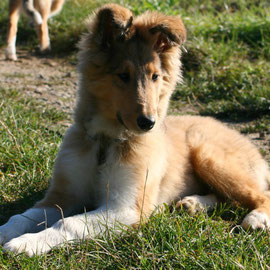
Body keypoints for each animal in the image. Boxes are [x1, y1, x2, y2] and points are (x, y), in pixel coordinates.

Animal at [0, 4, 270, 258]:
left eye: (155, 76)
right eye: (123, 75)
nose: (148, 123)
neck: (107, 142)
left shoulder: (126, 208)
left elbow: (68, 223)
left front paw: (26, 243)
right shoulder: (62, 196)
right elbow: (21, 217)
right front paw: (7, 232)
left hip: (209, 157)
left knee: (260, 195)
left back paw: (257, 219)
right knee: (227, 197)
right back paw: (193, 204)